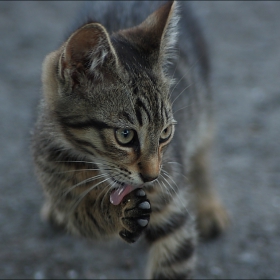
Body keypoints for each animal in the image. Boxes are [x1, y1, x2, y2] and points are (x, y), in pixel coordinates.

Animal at [31, 1, 229, 278]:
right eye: (125, 136)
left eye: (165, 133)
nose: (152, 176)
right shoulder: (56, 177)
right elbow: (87, 217)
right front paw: (116, 212)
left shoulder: (171, 206)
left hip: (202, 107)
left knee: (202, 155)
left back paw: (208, 205)